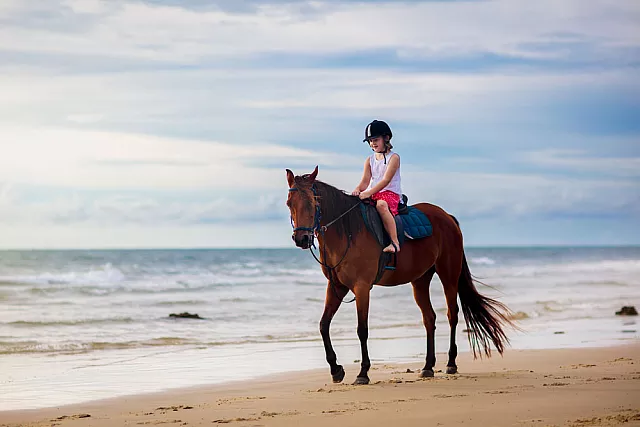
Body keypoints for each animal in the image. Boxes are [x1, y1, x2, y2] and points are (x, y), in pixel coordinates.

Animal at [284, 166, 516, 384]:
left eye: (313, 203)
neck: (348, 231)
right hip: (420, 280)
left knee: (452, 314)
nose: (301, 239)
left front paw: (363, 373)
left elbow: (362, 329)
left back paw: (450, 363)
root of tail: (447, 217)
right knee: (429, 318)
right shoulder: (336, 287)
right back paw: (428, 366)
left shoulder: (361, 287)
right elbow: (323, 325)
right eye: (289, 203)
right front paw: (336, 370)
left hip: (448, 275)